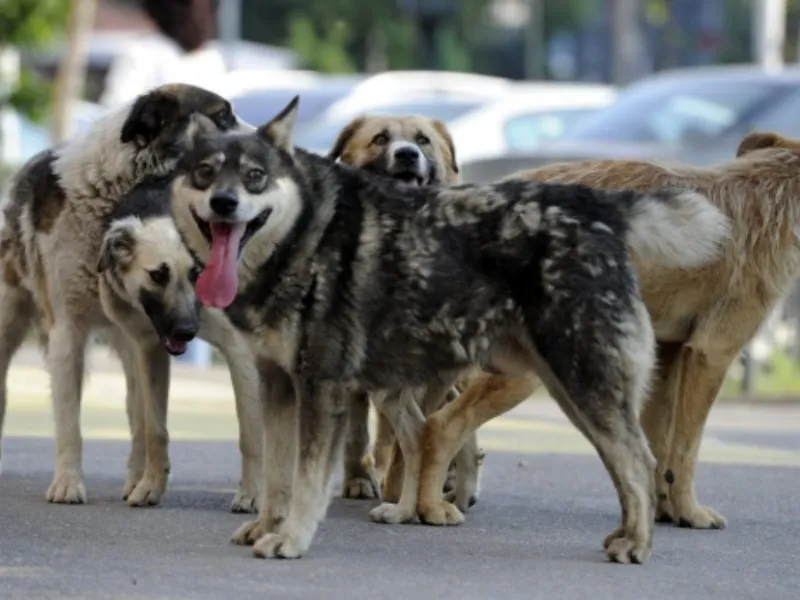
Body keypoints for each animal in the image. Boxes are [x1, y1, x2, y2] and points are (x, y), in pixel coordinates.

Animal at [0, 83, 262, 510]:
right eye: (222, 115)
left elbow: (144, 420)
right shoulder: (67, 331)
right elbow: (69, 420)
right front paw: (68, 483)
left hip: (129, 345)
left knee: (137, 413)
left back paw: (136, 478)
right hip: (10, 320)